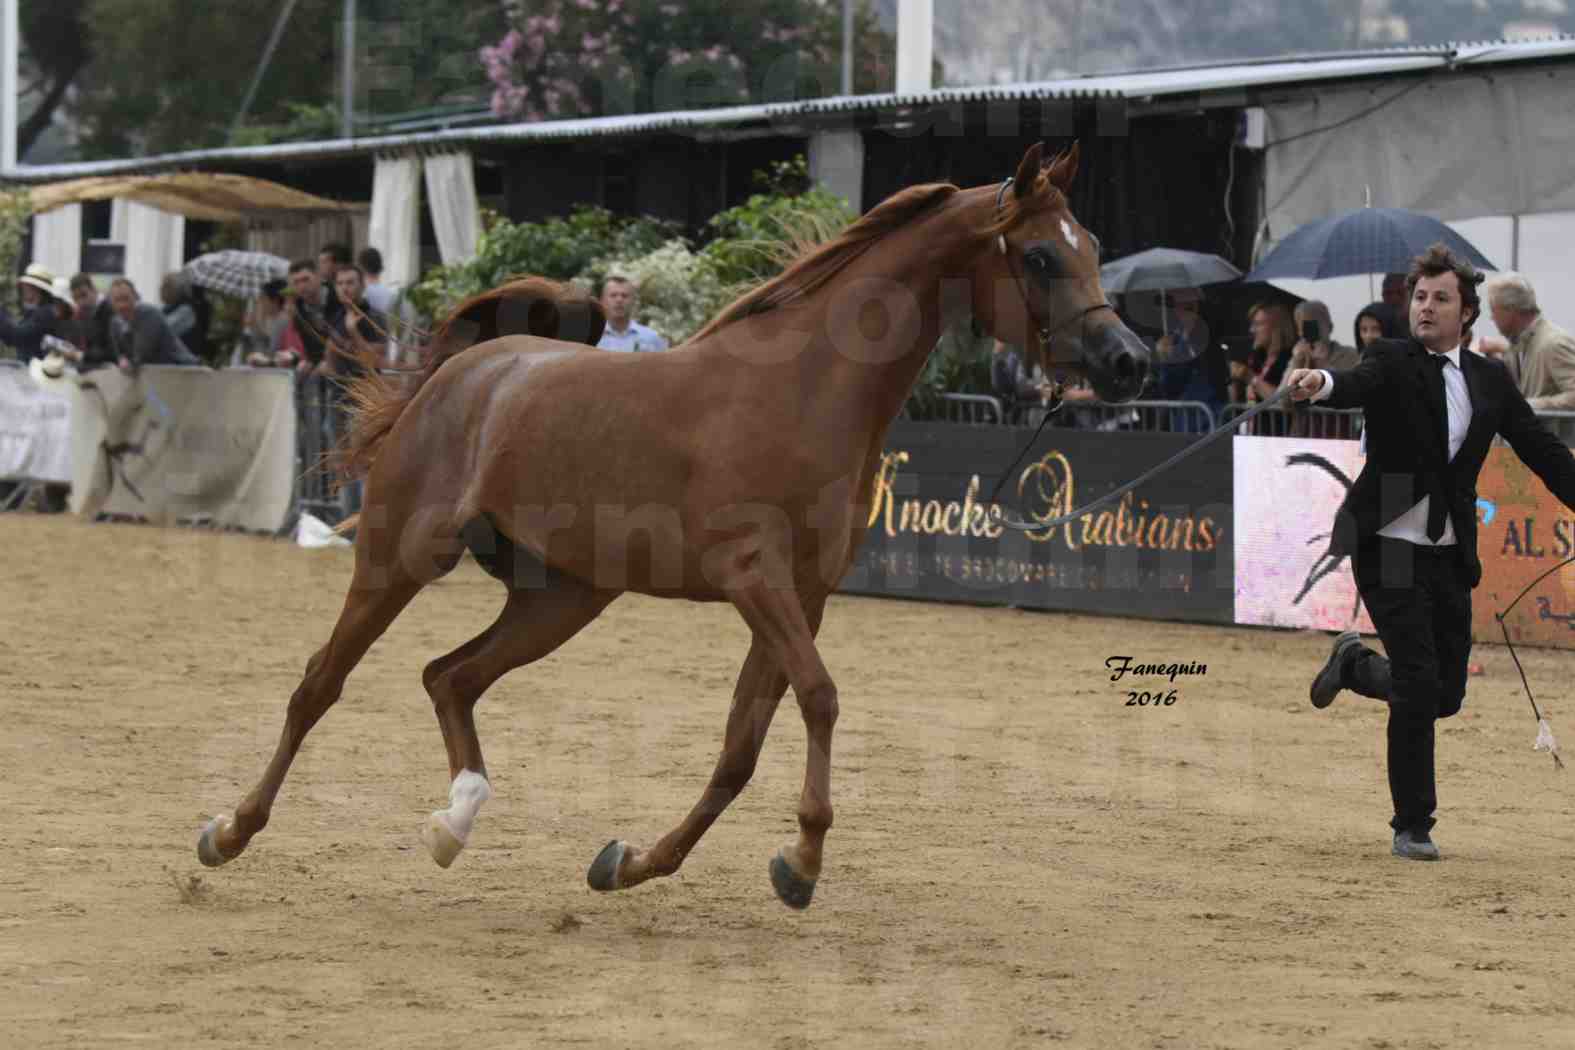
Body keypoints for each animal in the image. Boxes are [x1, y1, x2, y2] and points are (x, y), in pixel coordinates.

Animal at [203, 144, 1152, 906]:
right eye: (1039, 255)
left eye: (1095, 249)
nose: (1128, 362)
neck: (803, 389)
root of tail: (466, 372)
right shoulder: (754, 578)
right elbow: (819, 698)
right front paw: (801, 863)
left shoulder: (802, 597)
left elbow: (741, 744)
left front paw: (630, 863)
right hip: (400, 557)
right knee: (320, 684)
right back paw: (227, 833)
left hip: (562, 598)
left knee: (450, 677)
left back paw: (453, 824)